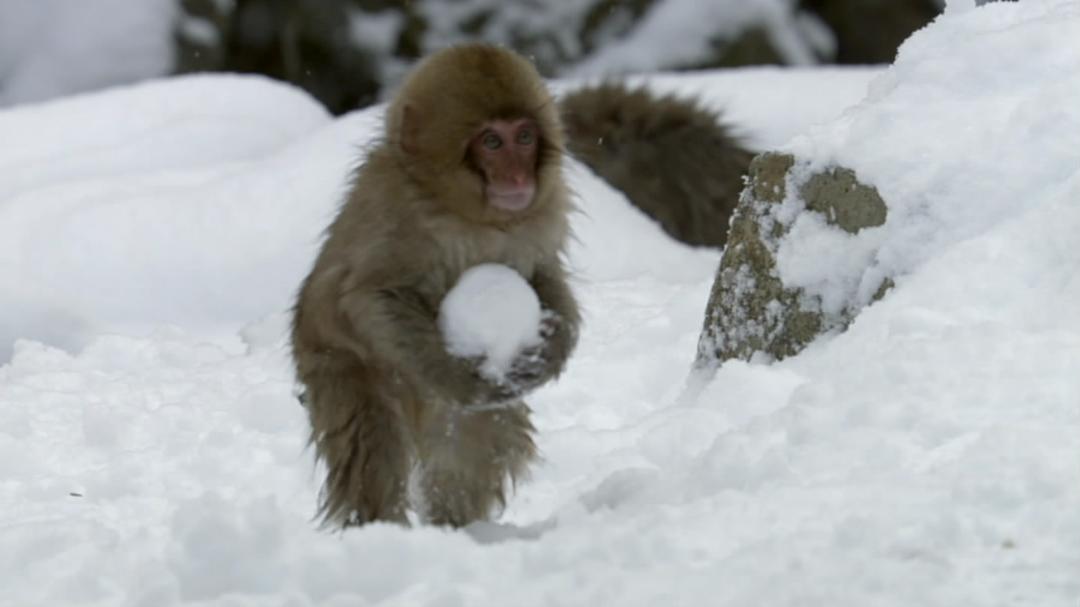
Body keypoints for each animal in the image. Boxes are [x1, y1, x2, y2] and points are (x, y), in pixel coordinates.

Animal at [293, 44, 583, 524]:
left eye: (524, 137)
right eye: (491, 142)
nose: (517, 177)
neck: (467, 213)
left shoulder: (543, 214)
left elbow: (545, 274)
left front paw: (551, 352)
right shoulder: (391, 209)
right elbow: (371, 295)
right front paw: (462, 380)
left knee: (471, 441)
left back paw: (454, 527)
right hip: (342, 366)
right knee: (374, 442)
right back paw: (379, 526)